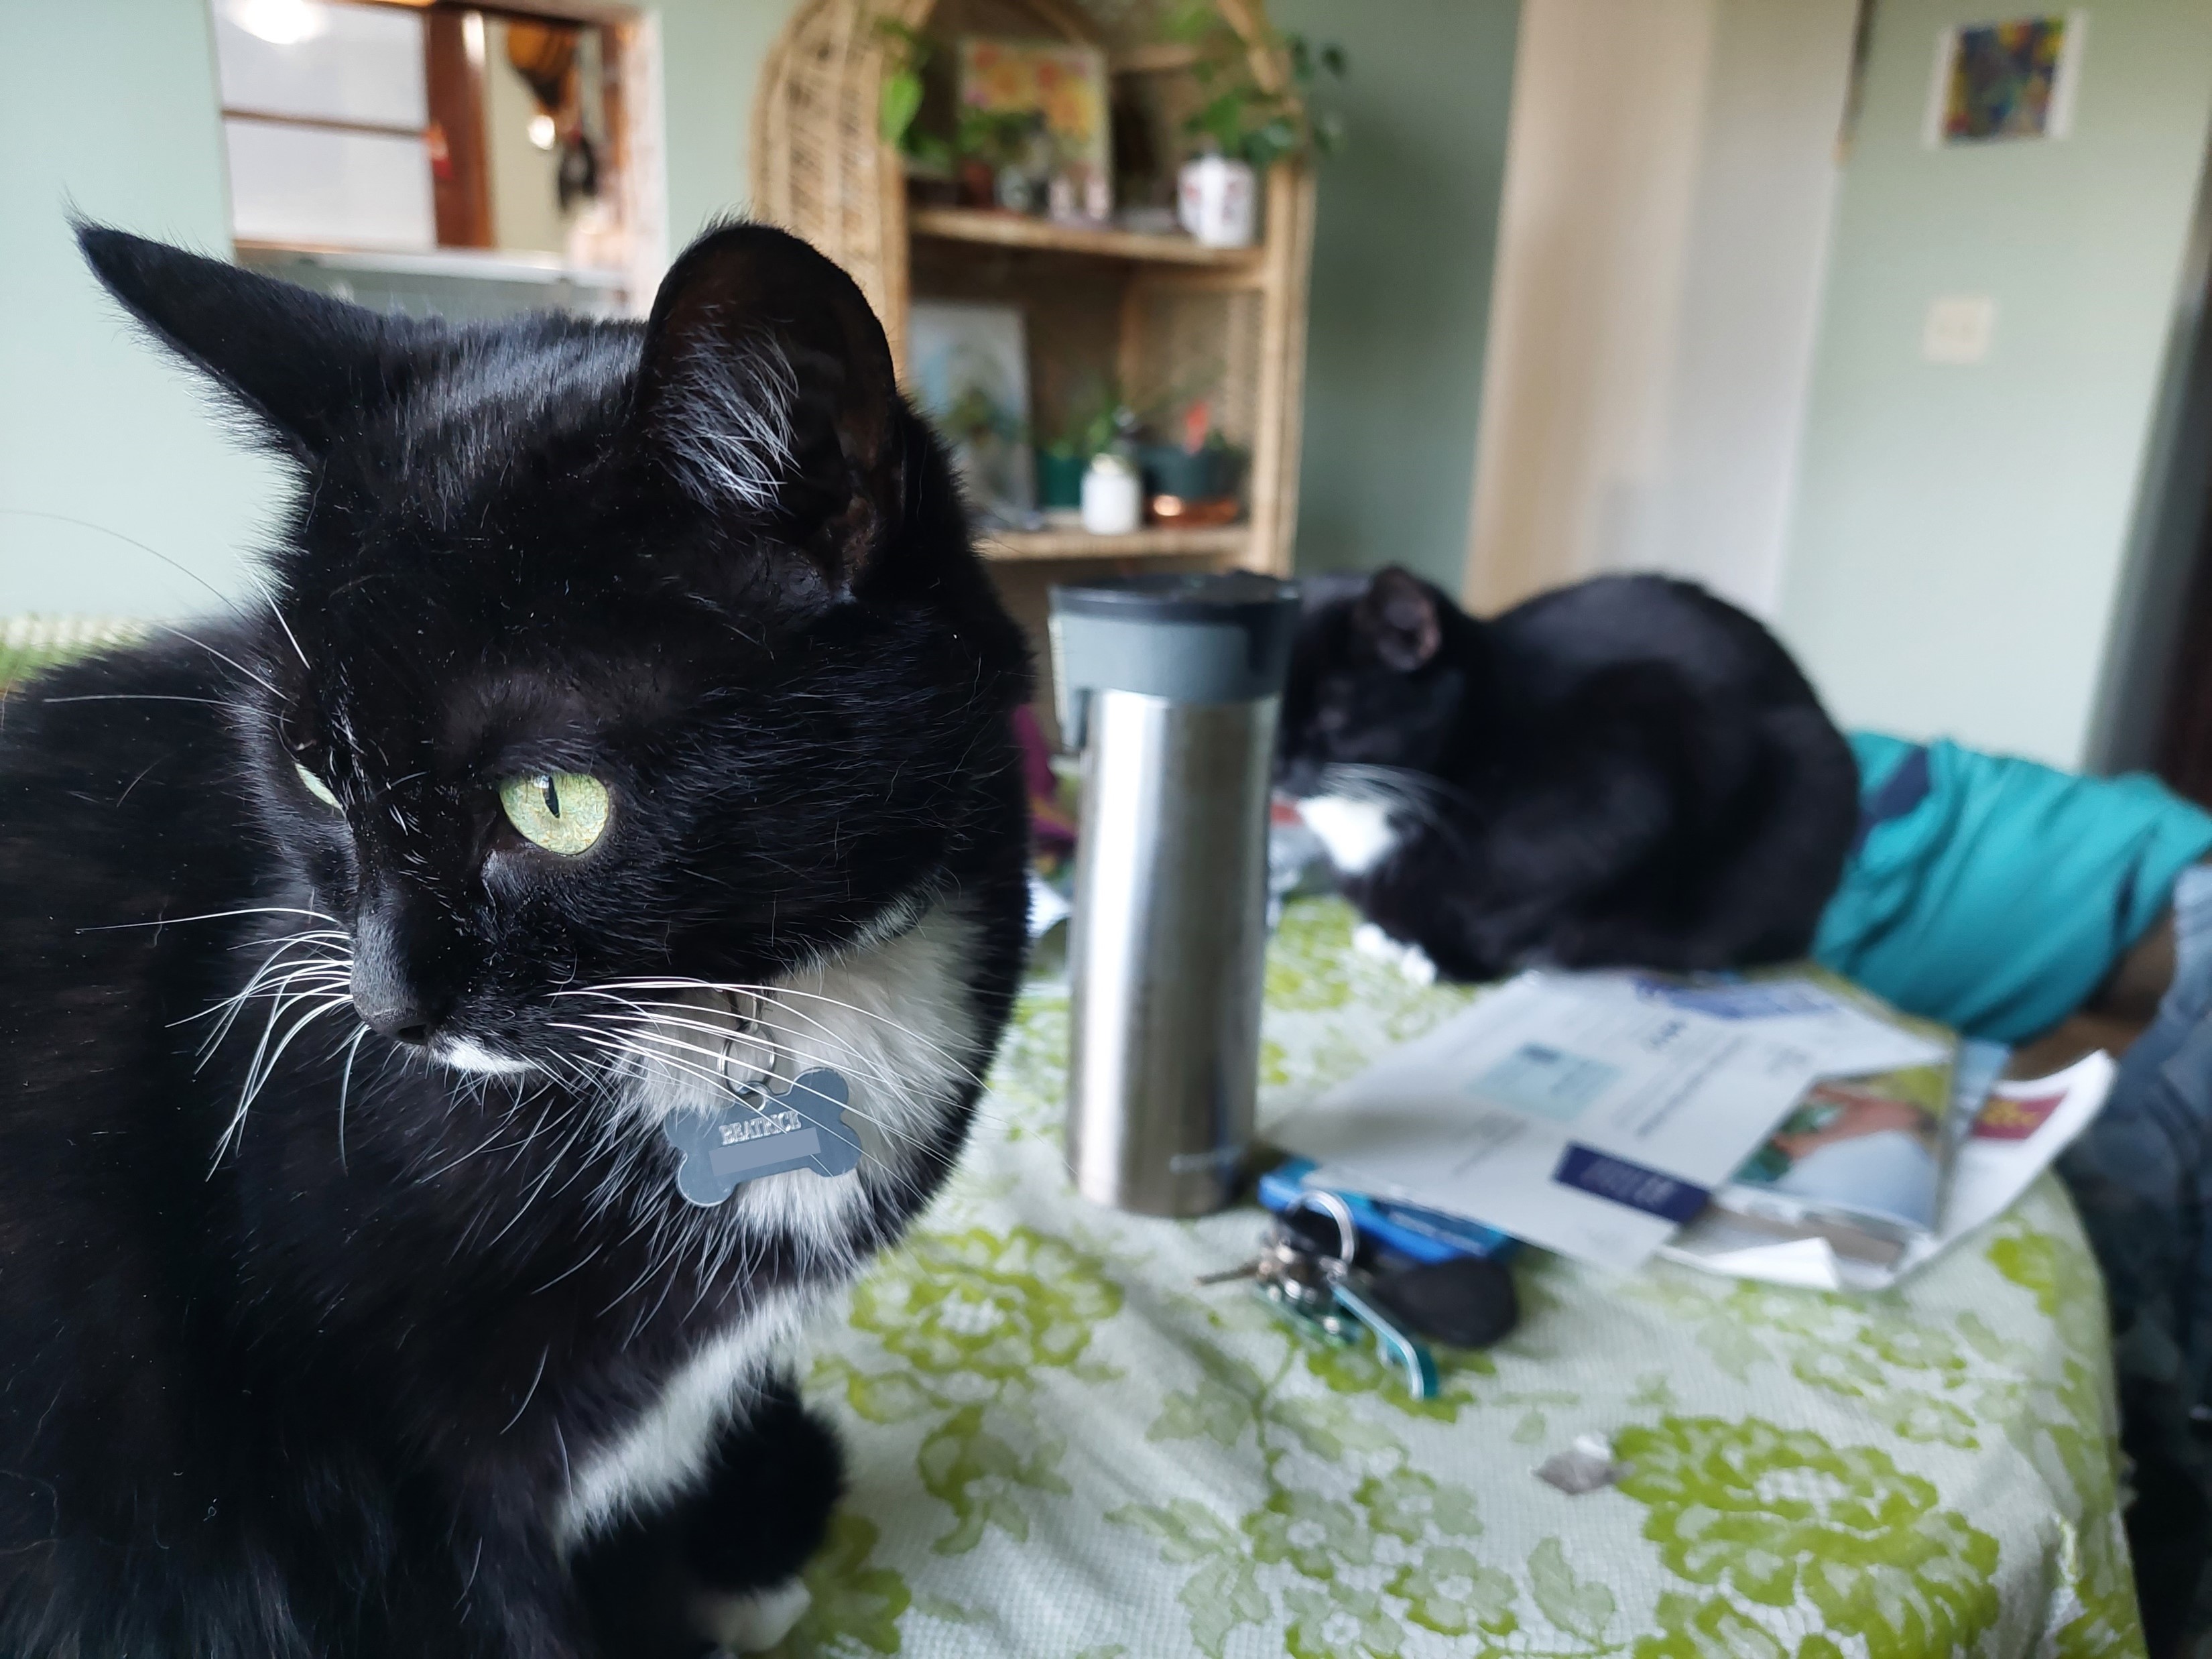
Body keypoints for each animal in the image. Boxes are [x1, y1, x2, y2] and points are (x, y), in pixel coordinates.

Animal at [1283, 570, 1867, 986]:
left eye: (1332, 714)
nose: (1279, 765)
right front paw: (1390, 933)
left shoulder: (1629, 778)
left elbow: (1512, 906)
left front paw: (1454, 957)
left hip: (1813, 784)